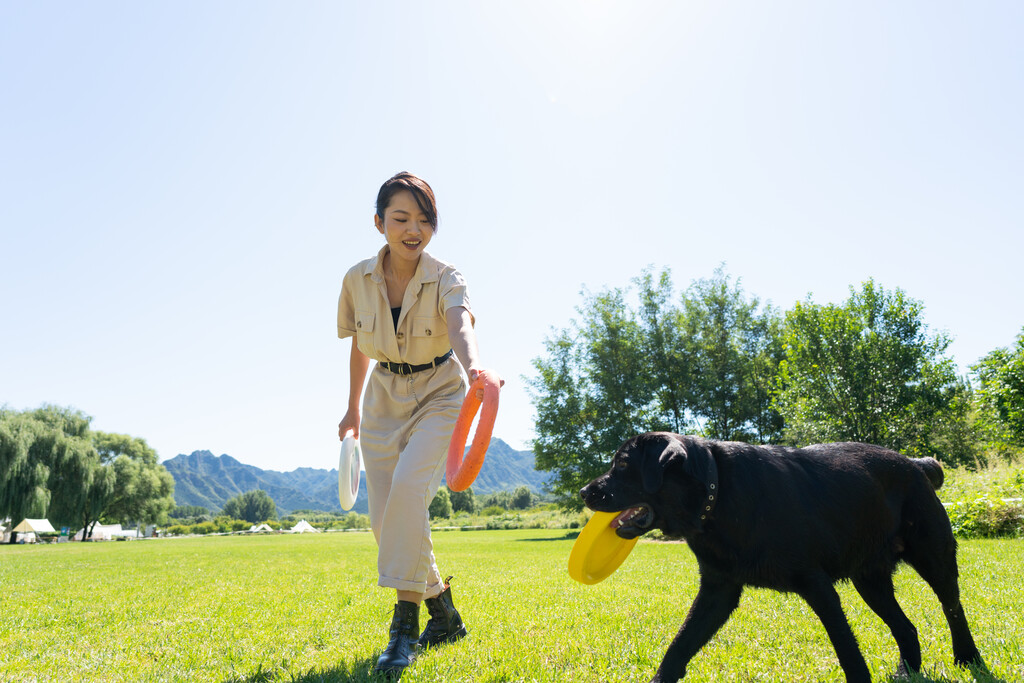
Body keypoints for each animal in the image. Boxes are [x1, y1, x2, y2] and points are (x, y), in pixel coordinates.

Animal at [581, 432, 978, 683]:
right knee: (906, 627)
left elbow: (847, 649)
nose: (585, 491)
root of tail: (914, 463)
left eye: (622, 465)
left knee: (953, 608)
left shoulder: (818, 587)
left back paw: (967, 657)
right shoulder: (717, 592)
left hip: (935, 558)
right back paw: (906, 672)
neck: (719, 496)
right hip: (870, 580)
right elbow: (679, 647)